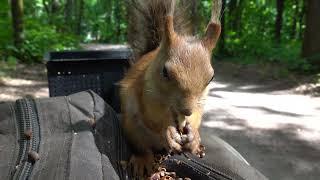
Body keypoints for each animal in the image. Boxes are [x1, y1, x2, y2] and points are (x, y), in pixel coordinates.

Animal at [119, 0, 221, 177]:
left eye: (211, 77)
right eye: (165, 72)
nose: (187, 110)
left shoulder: (200, 102)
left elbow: (197, 115)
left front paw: (193, 135)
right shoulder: (146, 92)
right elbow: (152, 117)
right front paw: (169, 132)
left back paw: (197, 147)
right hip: (132, 128)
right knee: (142, 147)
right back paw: (142, 161)